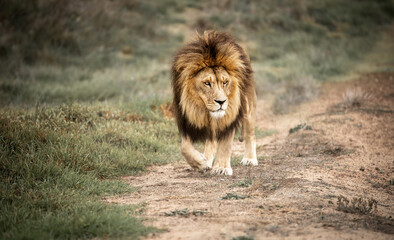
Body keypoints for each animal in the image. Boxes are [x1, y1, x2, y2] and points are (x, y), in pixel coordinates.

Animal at [171, 31, 258, 175]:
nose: (221, 102)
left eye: (225, 82)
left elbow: (226, 144)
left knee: (250, 133)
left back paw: (250, 159)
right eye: (207, 83)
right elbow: (184, 147)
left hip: (248, 105)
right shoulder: (185, 119)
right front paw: (200, 163)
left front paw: (221, 168)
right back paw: (206, 159)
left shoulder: (230, 116)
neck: (202, 108)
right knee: (211, 140)